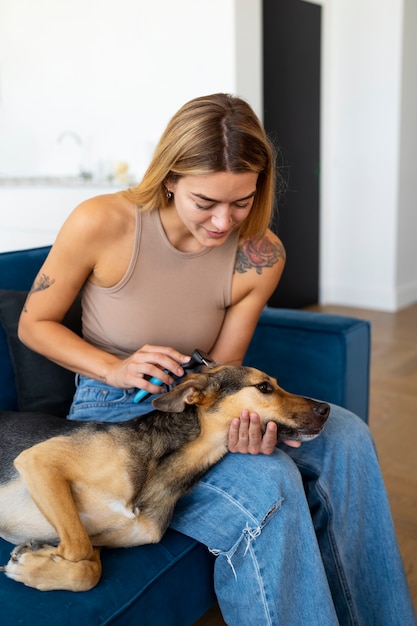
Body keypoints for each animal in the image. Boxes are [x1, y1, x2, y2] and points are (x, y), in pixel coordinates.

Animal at [0, 364, 328, 588]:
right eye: (263, 387)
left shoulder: (100, 542)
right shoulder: (39, 461)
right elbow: (78, 548)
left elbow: (90, 567)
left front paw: (36, 562)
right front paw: (35, 559)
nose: (325, 408)